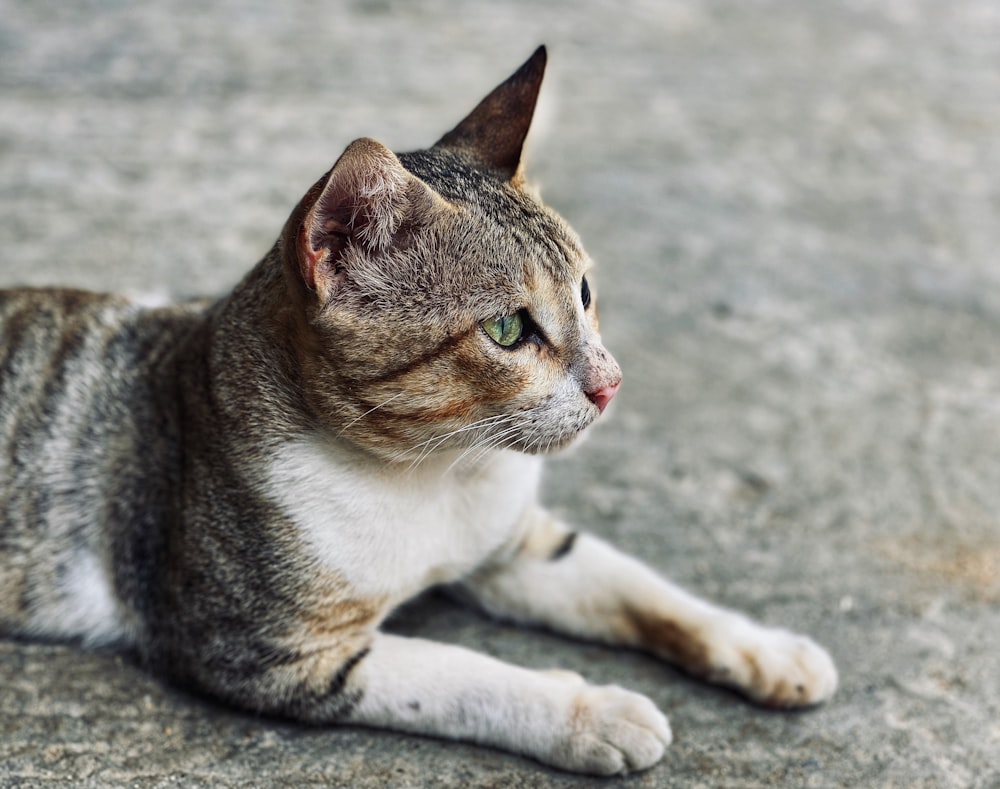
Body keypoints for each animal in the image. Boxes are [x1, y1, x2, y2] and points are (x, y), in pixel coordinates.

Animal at [0, 47, 836, 776]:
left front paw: (767, 647)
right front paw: (591, 712)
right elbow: (463, 674)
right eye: (508, 329)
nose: (611, 383)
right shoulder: (265, 646)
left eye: (586, 293)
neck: (434, 473)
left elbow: (637, 587)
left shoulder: (516, 542)